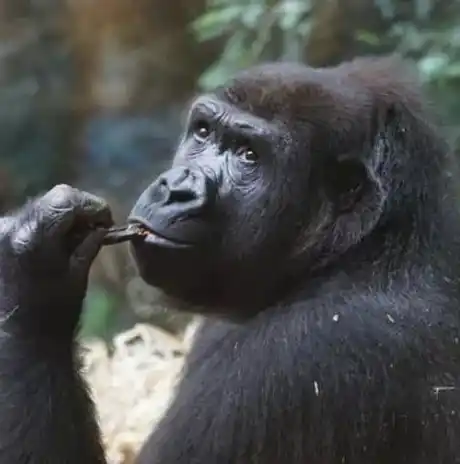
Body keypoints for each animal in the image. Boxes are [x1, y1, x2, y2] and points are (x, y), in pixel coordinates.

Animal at [0, 55, 460, 464]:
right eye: (203, 132)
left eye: (249, 156)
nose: (175, 189)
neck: (366, 247)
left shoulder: (312, 349)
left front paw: (32, 269)